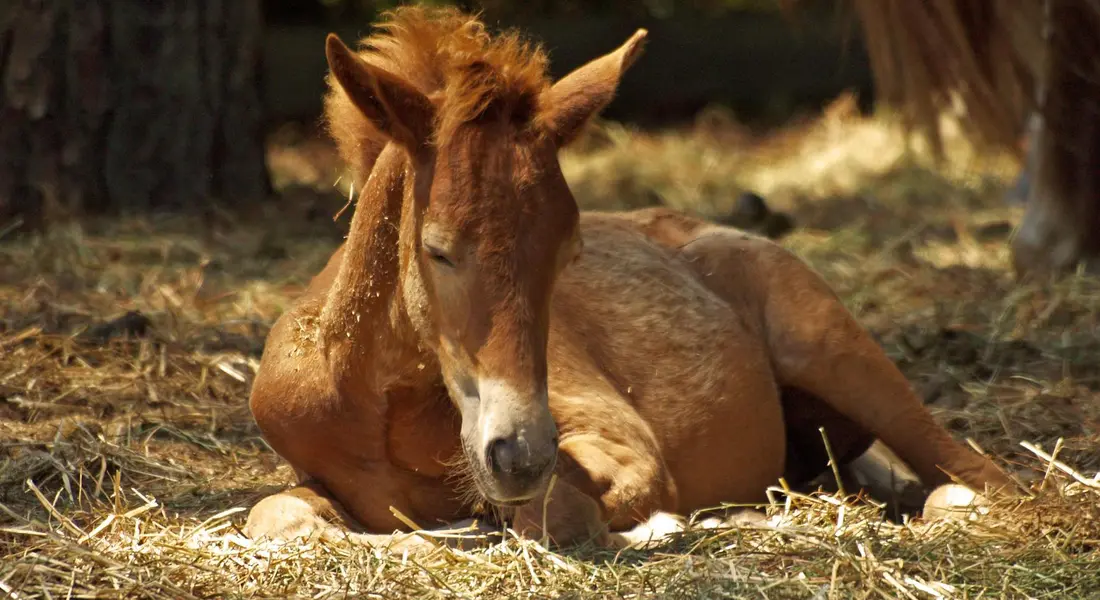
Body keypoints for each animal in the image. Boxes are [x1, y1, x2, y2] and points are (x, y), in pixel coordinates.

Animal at [243, 6, 1019, 551]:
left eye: (569, 250)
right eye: (437, 250)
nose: (519, 455)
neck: (378, 406)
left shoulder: (620, 445)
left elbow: (557, 513)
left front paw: (659, 525)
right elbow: (274, 515)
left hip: (836, 351)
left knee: (982, 477)